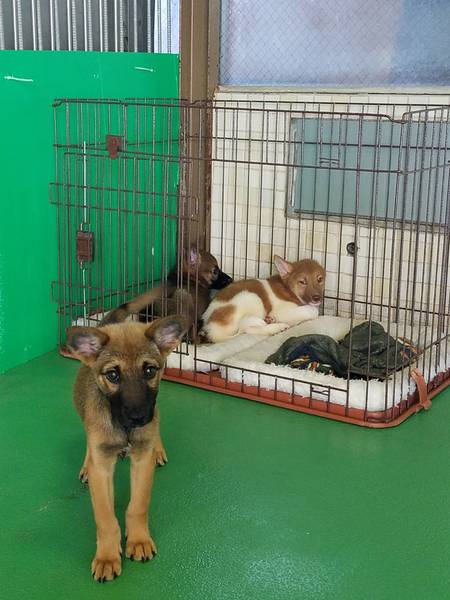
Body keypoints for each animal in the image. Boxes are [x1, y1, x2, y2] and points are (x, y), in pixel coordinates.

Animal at [63, 314, 188, 582]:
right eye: (113, 375)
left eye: (149, 370)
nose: (138, 417)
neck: (125, 431)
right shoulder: (102, 468)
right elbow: (105, 519)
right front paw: (107, 557)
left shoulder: (141, 461)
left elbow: (137, 506)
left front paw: (139, 540)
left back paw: (158, 449)